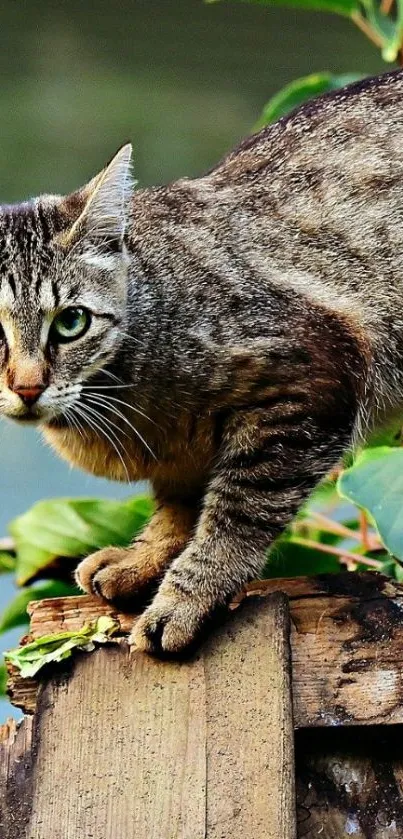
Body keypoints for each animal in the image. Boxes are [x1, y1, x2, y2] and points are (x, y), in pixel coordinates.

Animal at [1, 69, 402, 652]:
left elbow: (236, 512)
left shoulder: (311, 382)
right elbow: (178, 507)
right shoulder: (183, 458)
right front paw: (143, 560)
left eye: (70, 322)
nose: (28, 387)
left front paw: (184, 598)